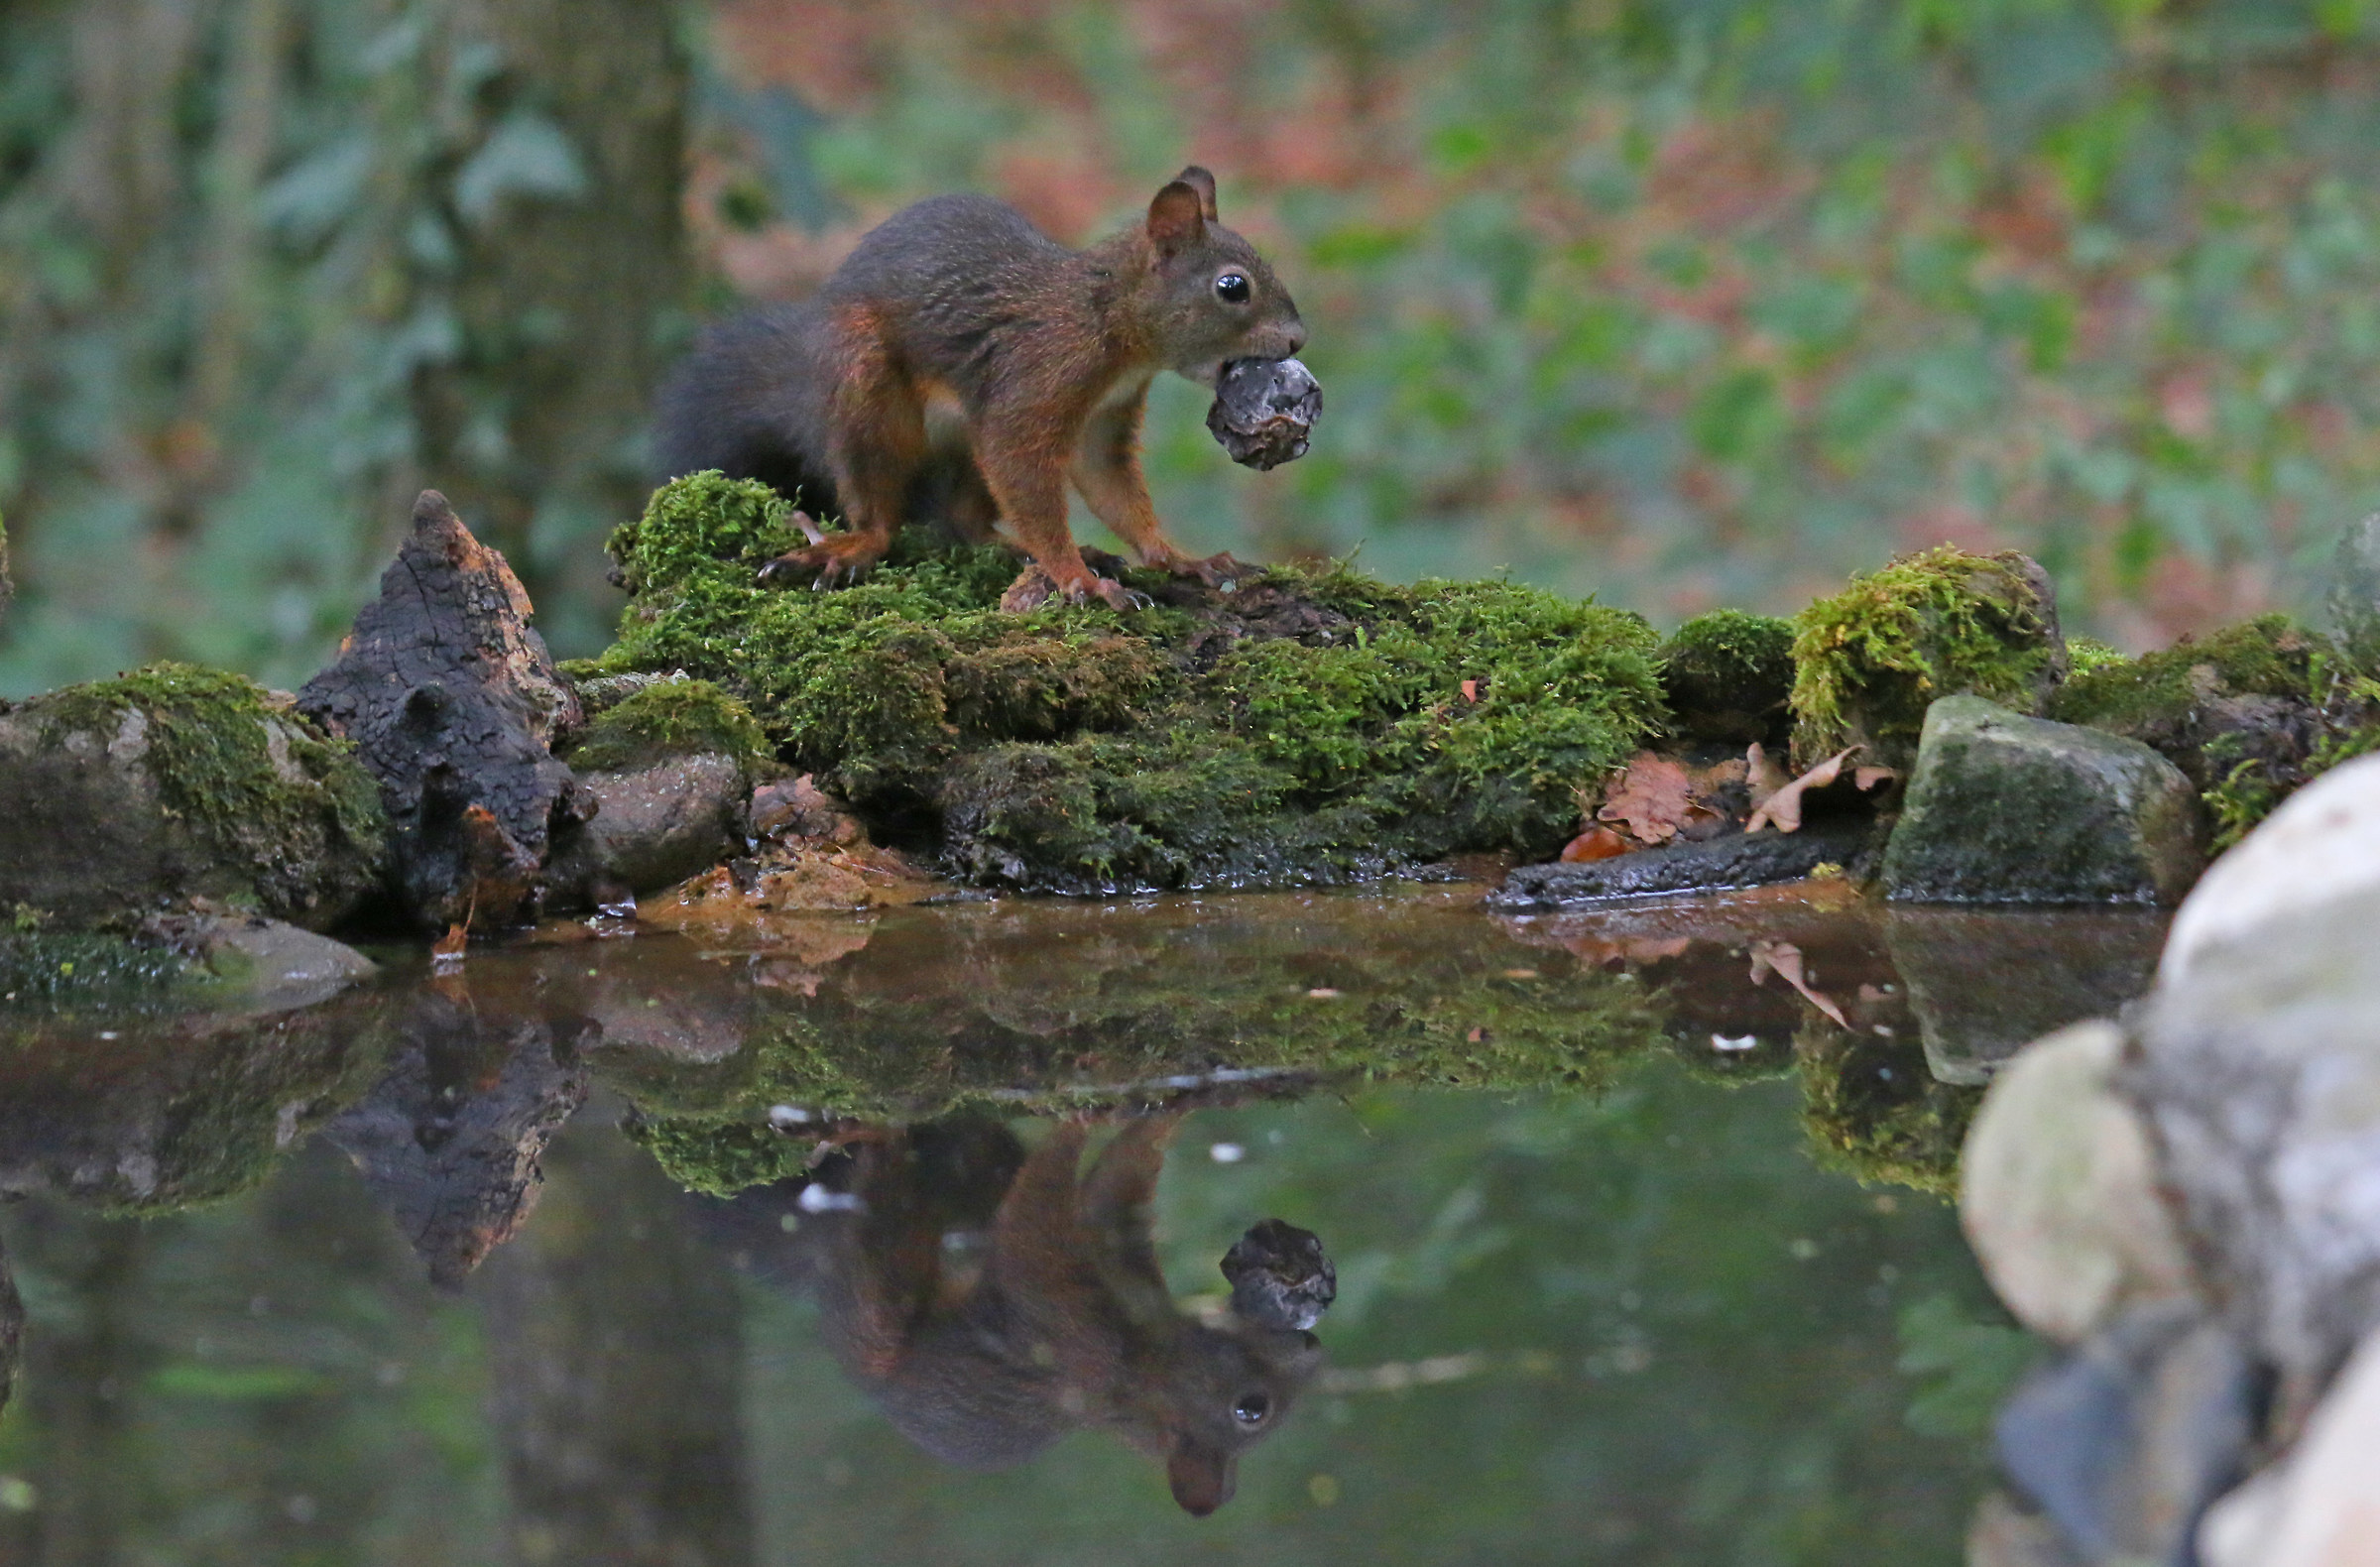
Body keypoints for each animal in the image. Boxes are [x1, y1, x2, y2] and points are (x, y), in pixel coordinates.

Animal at [654, 166, 1307, 612]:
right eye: (1232, 287)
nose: (1299, 339)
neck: (1105, 318)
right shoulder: (1035, 379)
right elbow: (1023, 468)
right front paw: (1079, 580)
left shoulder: (1105, 418)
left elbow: (1111, 487)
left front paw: (1178, 559)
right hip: (865, 391)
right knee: (881, 511)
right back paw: (853, 544)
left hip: (962, 446)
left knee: (966, 524)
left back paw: (1035, 550)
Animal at [695, 1113, 1323, 1516]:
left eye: (1251, 1411)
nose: (1313, 1348)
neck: (1144, 1367)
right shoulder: (1114, 1254)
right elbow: (1113, 1186)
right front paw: (1163, 1104)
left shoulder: (1069, 1329)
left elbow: (1032, 1220)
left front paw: (1084, 1112)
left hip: (878, 1297)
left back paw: (879, 1145)